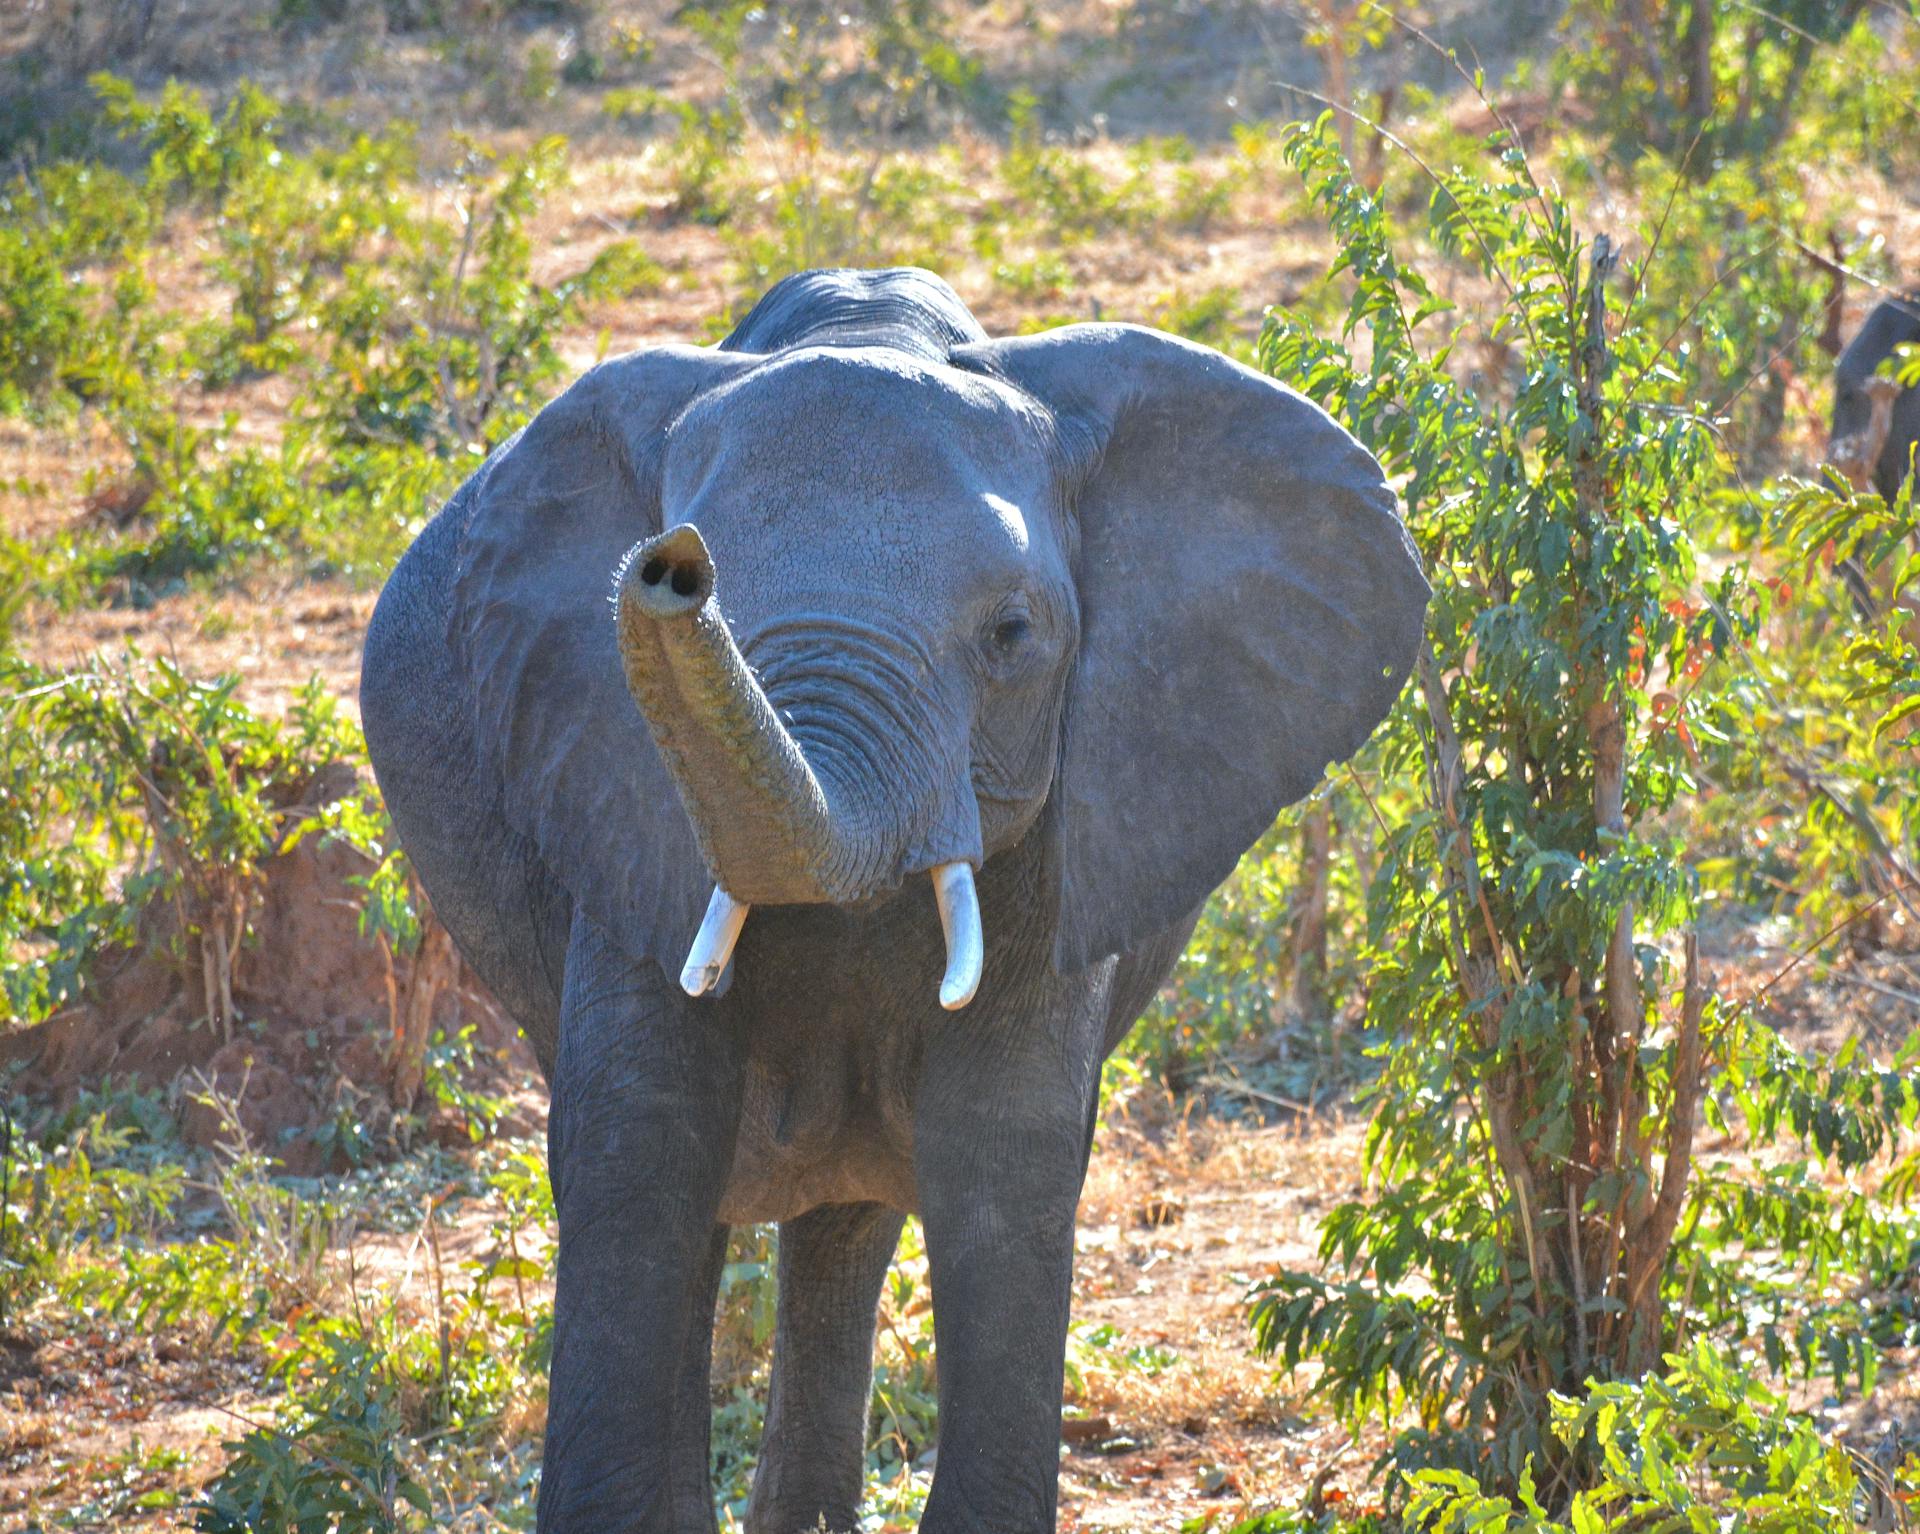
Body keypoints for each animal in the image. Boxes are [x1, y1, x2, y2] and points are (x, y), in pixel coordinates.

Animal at [360, 266, 1428, 1534]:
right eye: (641, 608)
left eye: (1012, 634)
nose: (669, 567)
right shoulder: (618, 786)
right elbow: (638, 1139)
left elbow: (1002, 1153)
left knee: (844, 1224)